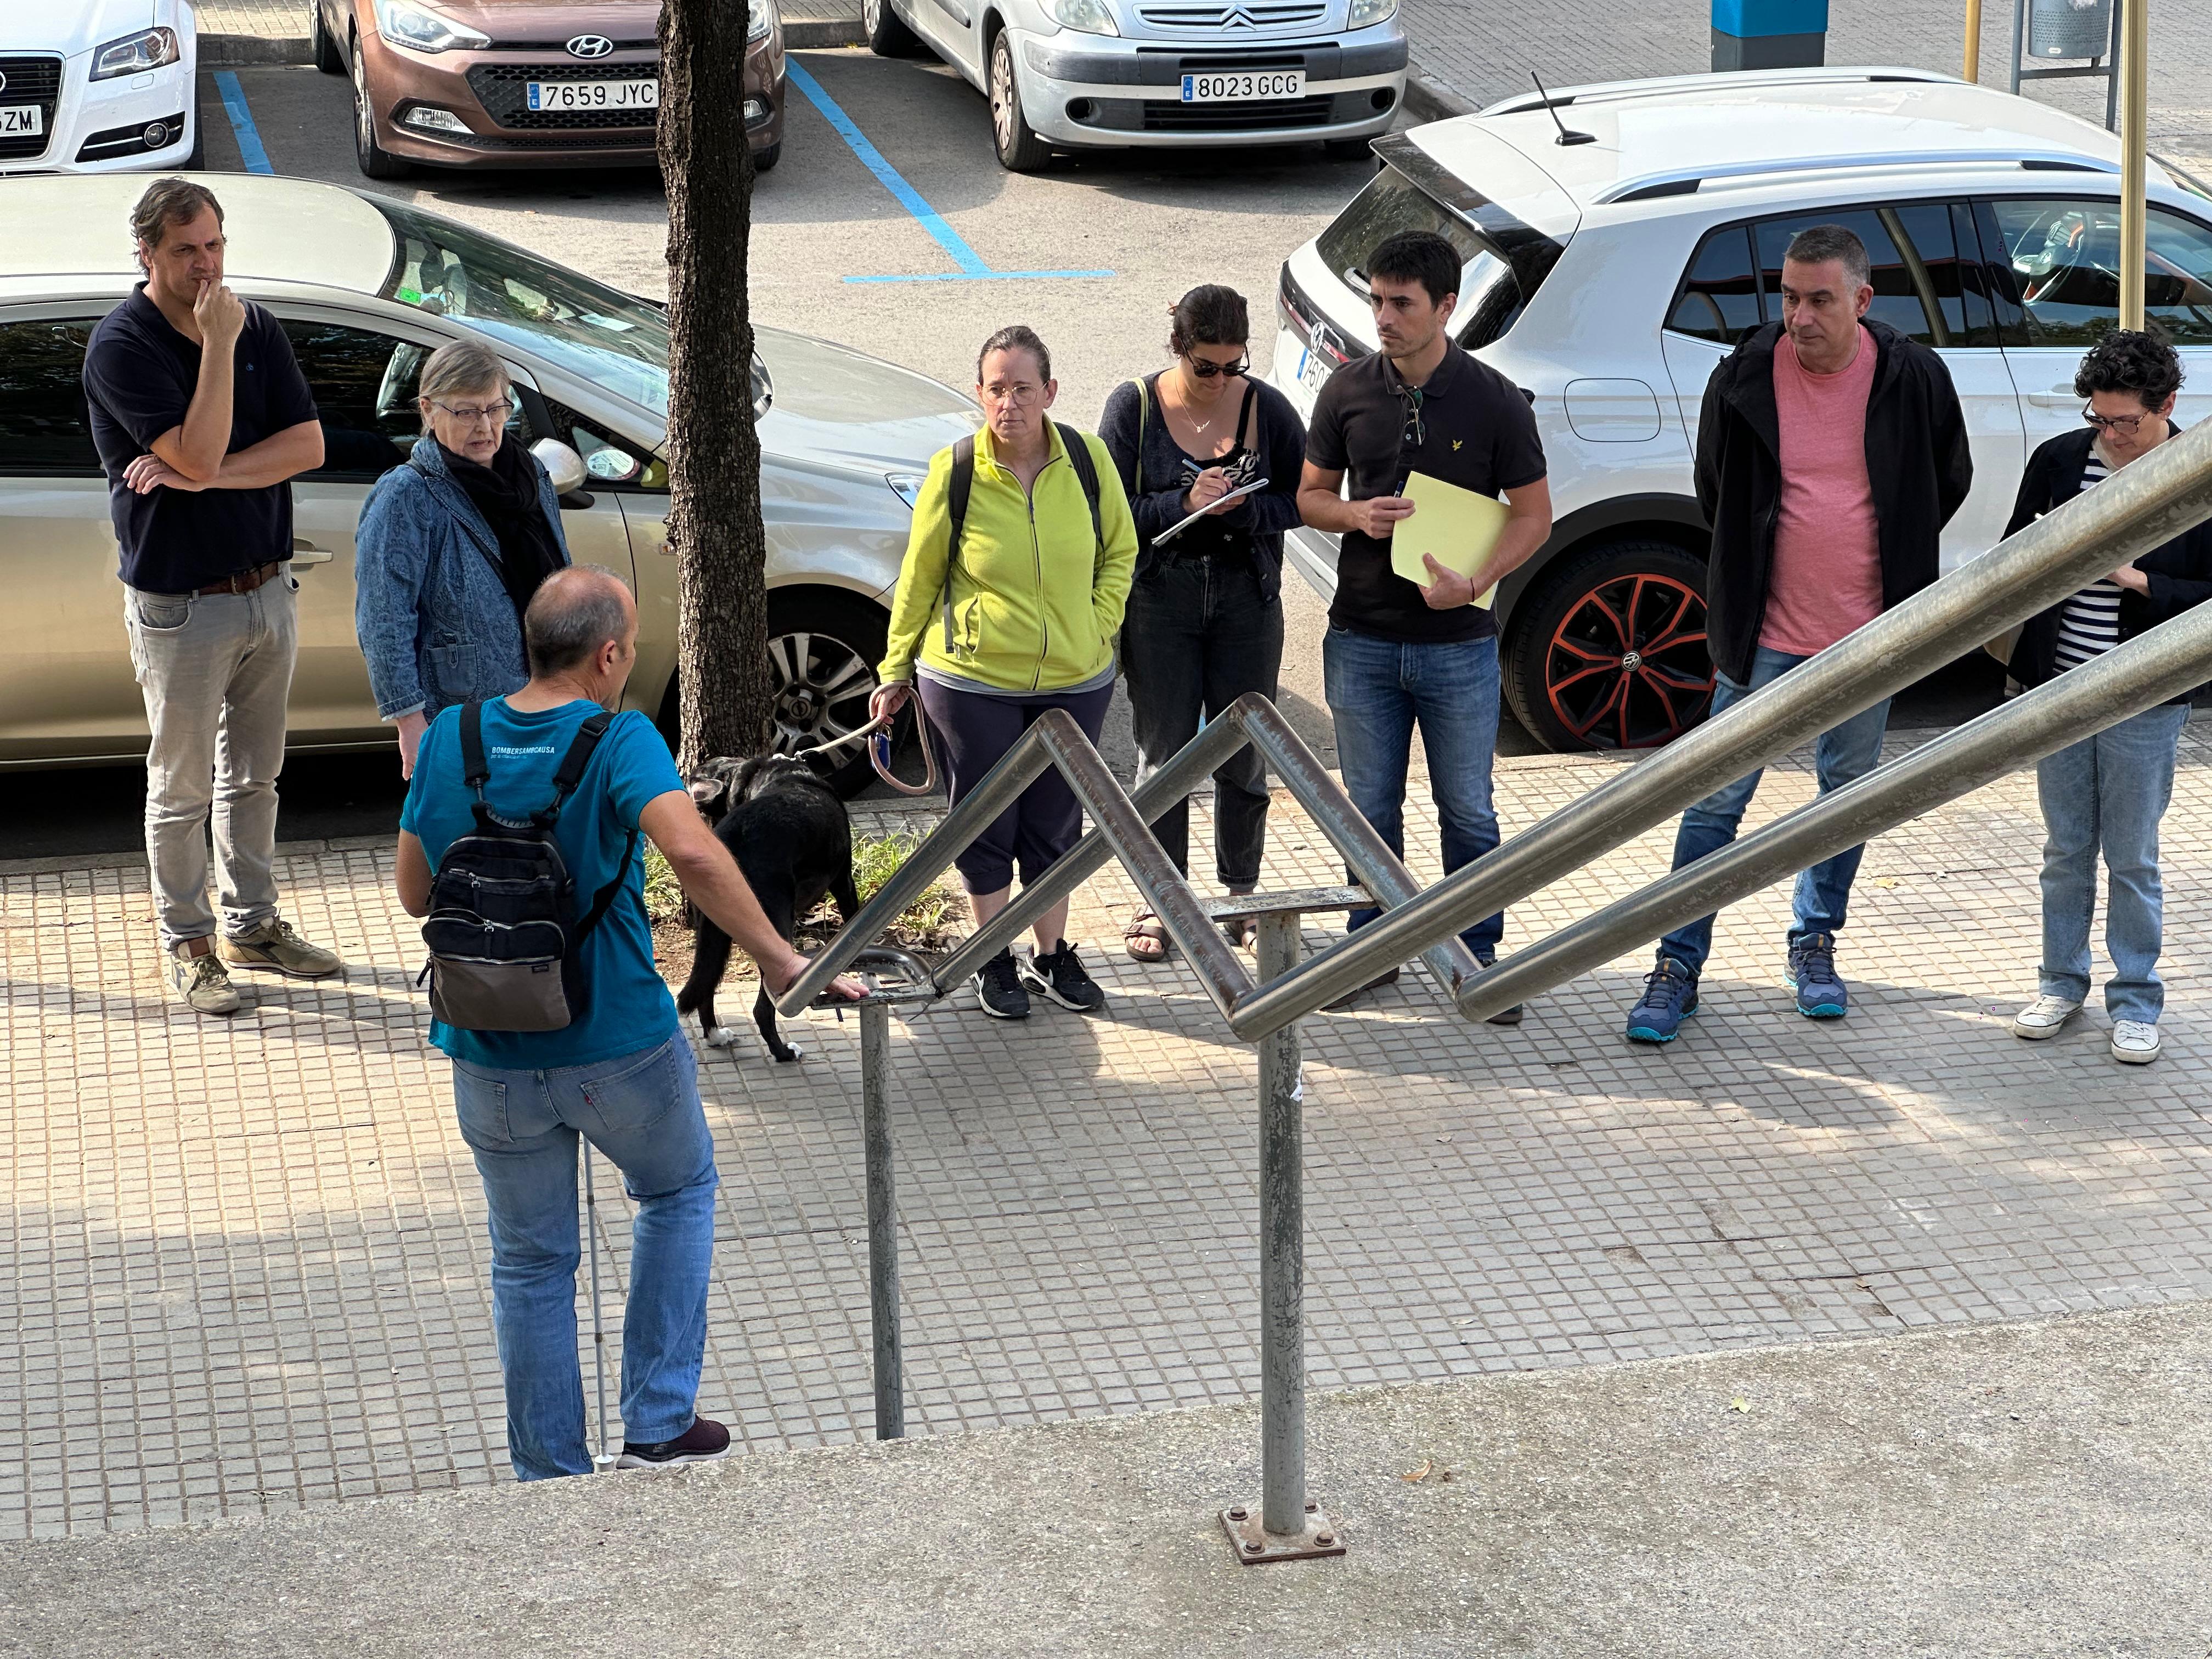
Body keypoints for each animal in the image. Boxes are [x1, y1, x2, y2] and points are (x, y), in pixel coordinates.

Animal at [672, 752, 854, 1066]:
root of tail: (732, 841)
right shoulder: (844, 882)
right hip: (775, 930)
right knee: (762, 1010)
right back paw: (784, 1053)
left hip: (712, 931)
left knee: (706, 984)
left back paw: (715, 1036)